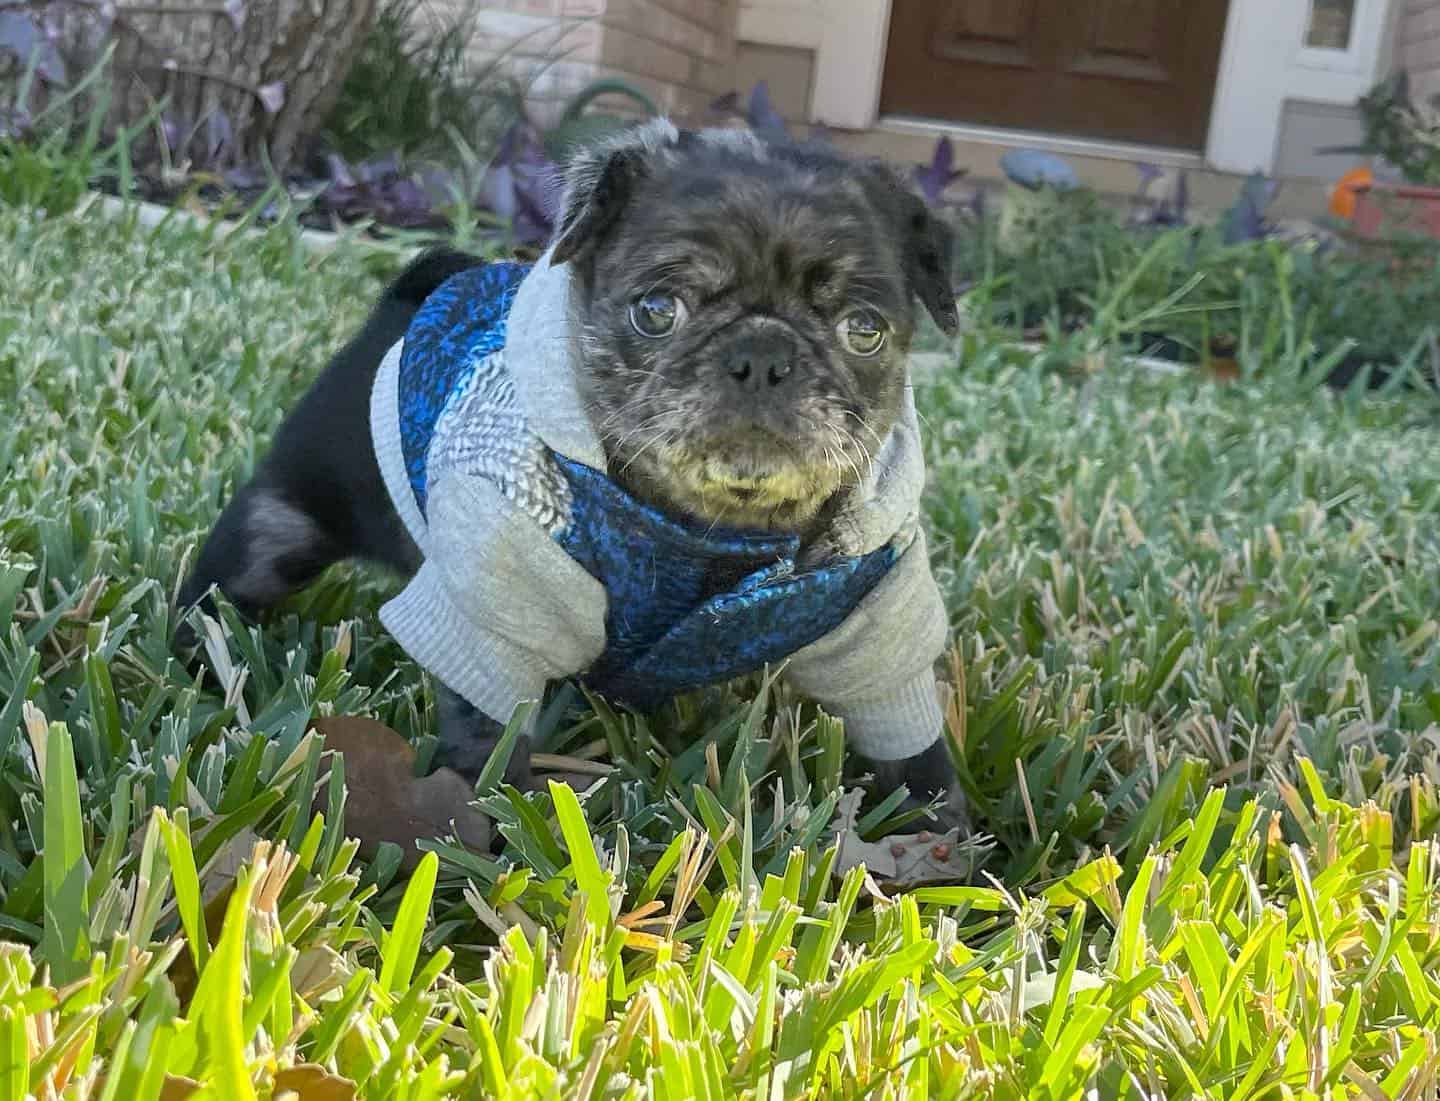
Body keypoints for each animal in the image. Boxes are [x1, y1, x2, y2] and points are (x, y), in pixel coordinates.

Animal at [180, 120, 967, 823]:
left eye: (864, 331)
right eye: (657, 310)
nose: (764, 357)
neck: (717, 531)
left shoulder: (879, 615)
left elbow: (906, 730)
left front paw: (941, 826)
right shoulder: (496, 607)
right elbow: (489, 733)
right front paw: (492, 825)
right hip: (282, 524)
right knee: (230, 575)